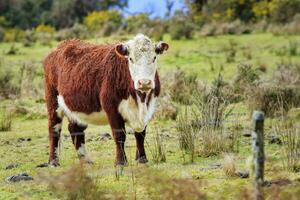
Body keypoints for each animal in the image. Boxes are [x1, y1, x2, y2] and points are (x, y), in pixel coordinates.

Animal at [43, 34, 169, 166]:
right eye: (130, 59)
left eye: (154, 57)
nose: (144, 82)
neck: (140, 100)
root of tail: (60, 46)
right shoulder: (112, 108)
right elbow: (119, 135)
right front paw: (121, 161)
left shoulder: (149, 108)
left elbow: (140, 134)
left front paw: (142, 159)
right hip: (53, 100)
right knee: (54, 128)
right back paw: (53, 161)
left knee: (75, 129)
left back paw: (86, 160)